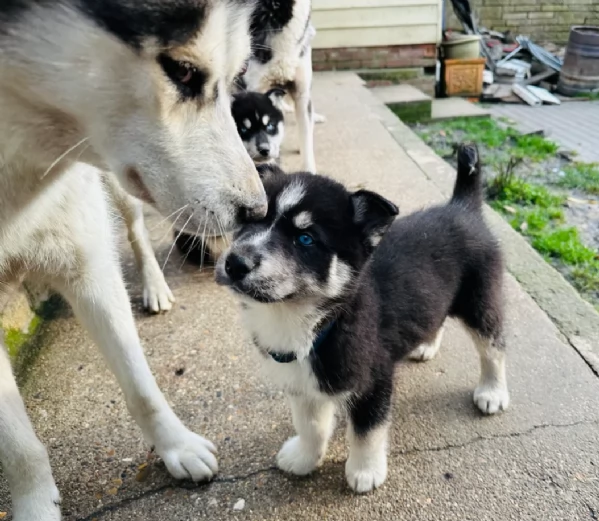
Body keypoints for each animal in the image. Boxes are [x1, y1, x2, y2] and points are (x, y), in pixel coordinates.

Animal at [0, 1, 268, 520]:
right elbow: (17, 444)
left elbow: (141, 384)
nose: (257, 212)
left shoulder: (88, 264)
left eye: (238, 74)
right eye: (183, 70)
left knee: (137, 233)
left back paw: (154, 285)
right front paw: (35, 503)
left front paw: (177, 446)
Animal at [216, 144, 510, 494]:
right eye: (251, 222)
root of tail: (463, 206)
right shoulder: (303, 385)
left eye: (305, 239)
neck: (314, 322)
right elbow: (311, 426)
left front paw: (365, 471)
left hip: (479, 299)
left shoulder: (373, 380)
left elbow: (366, 432)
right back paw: (425, 346)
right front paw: (304, 458)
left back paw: (493, 392)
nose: (235, 263)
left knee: (493, 346)